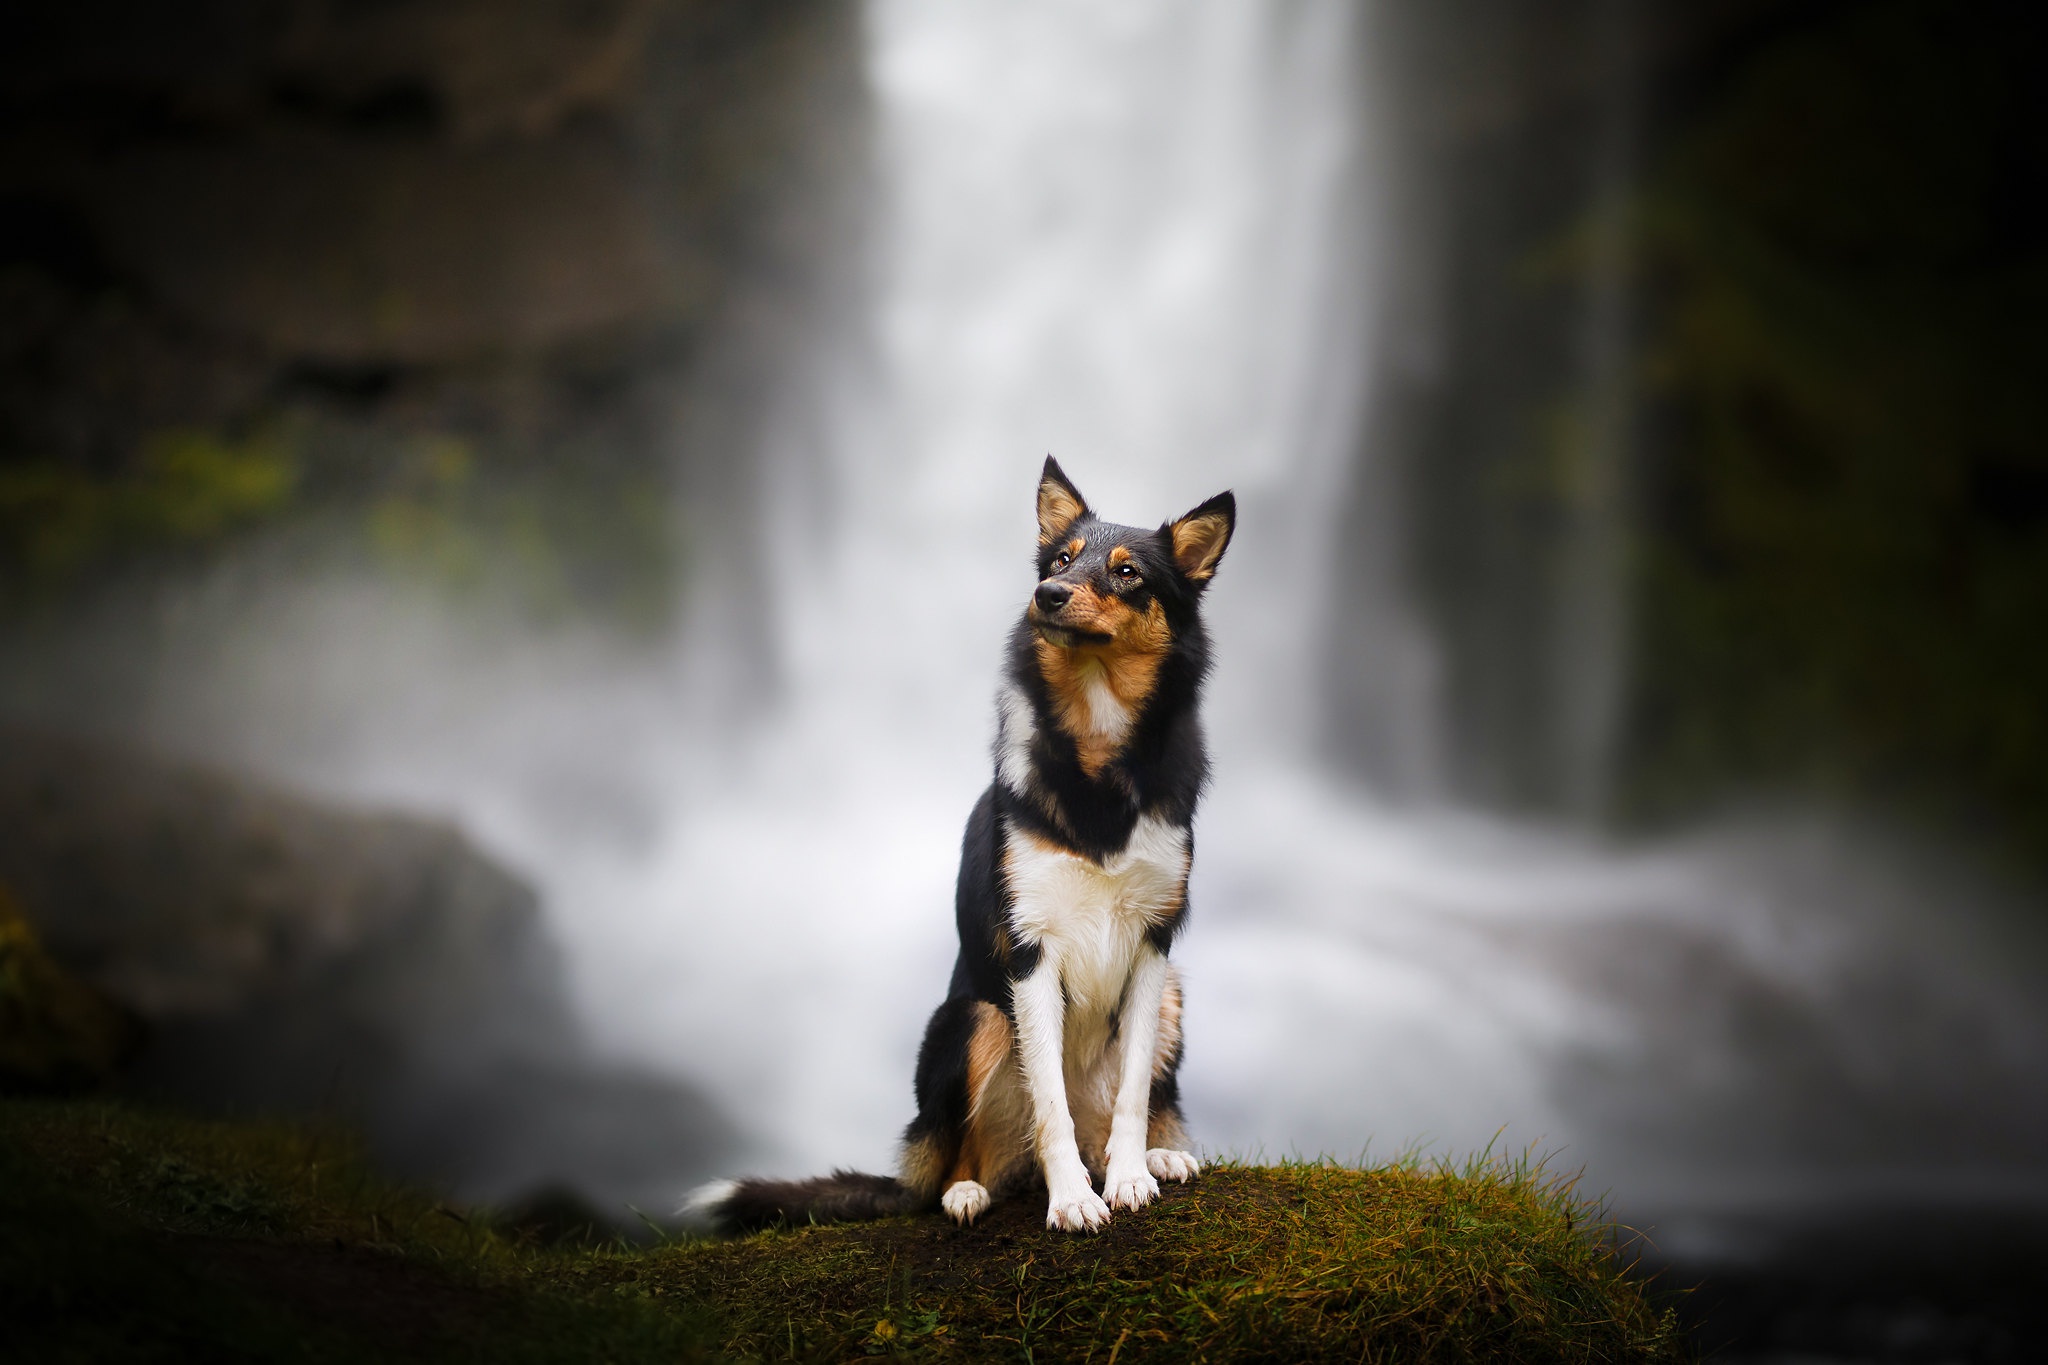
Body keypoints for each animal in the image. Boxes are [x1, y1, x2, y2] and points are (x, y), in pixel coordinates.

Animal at [692, 458, 1228, 1236]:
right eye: (1060, 559)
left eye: (1128, 572)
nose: (1048, 594)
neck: (1098, 750)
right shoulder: (1030, 949)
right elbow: (1051, 1104)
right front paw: (1073, 1201)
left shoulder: (1153, 943)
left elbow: (1130, 1093)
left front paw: (1129, 1179)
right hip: (971, 1019)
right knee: (972, 1150)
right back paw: (968, 1190)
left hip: (1171, 1001)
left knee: (1127, 1110)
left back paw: (1157, 1156)